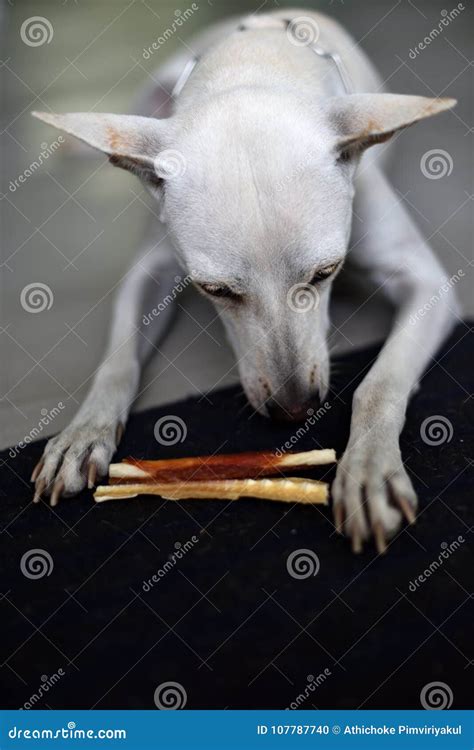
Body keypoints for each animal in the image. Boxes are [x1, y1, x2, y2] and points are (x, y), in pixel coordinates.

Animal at [31, 8, 458, 556]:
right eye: (215, 290)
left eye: (326, 272)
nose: (294, 411)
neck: (253, 66)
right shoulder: (150, 272)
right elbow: (117, 363)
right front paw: (84, 431)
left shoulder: (428, 284)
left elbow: (379, 385)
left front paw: (367, 467)